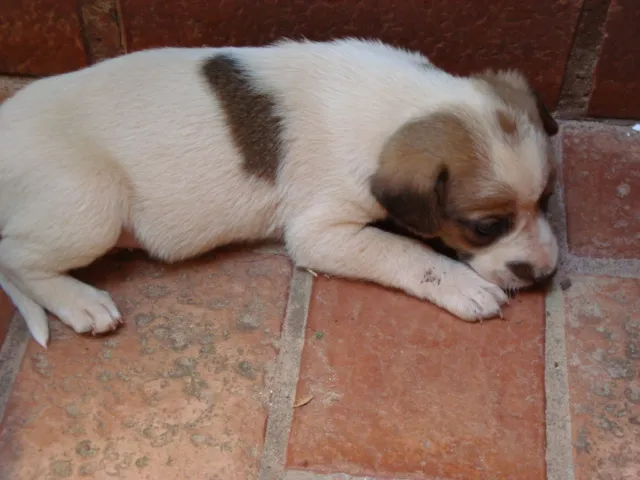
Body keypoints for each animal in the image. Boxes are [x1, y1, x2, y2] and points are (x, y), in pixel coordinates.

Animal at [0, 37, 556, 344]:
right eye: (485, 227)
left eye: (547, 199)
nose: (547, 273)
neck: (401, 101)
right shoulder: (320, 231)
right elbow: (408, 253)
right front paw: (463, 286)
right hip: (92, 205)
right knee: (17, 258)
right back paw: (80, 302)